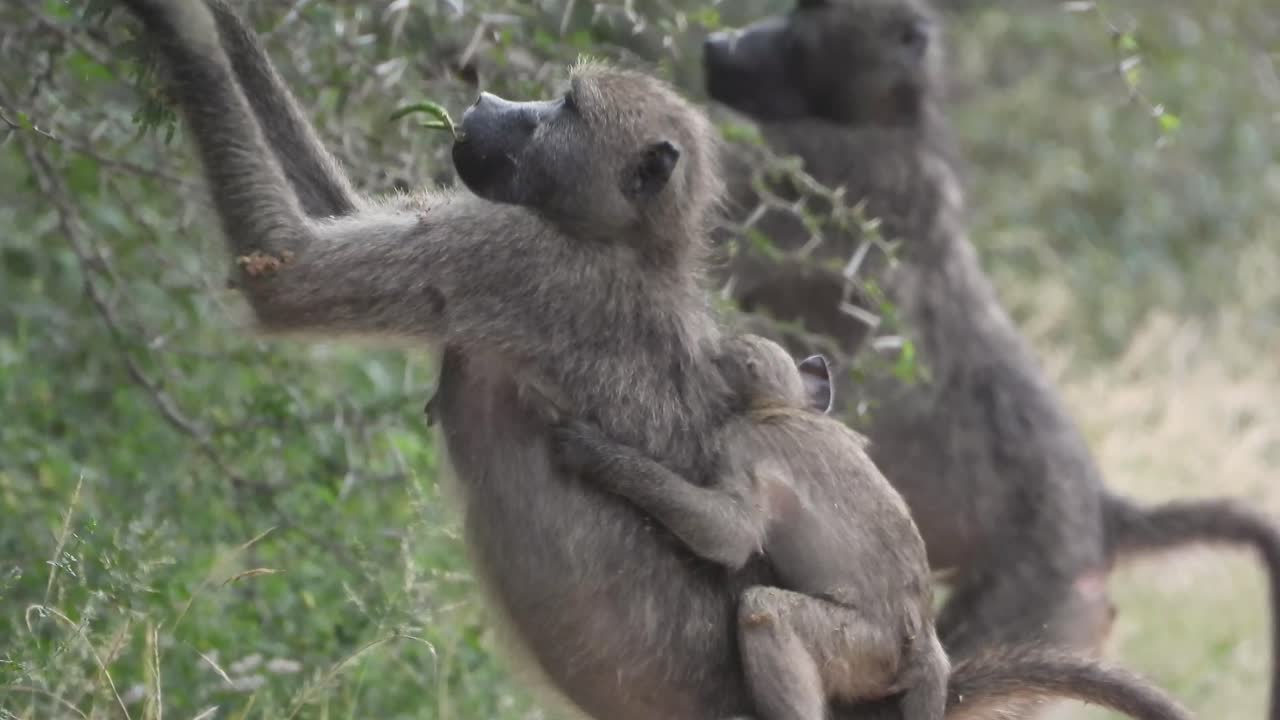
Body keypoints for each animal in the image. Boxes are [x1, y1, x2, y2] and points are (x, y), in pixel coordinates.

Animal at [549, 332, 948, 720]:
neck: (779, 407)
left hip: (866, 646)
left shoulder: (739, 442)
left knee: (764, 608)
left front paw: (600, 455)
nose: (709, 358)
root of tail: (924, 640)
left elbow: (732, 536)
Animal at [702, 1, 1280, 717]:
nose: (720, 42)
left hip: (1037, 591)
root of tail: (1101, 512)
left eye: (802, 25)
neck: (898, 122)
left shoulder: (827, 166)